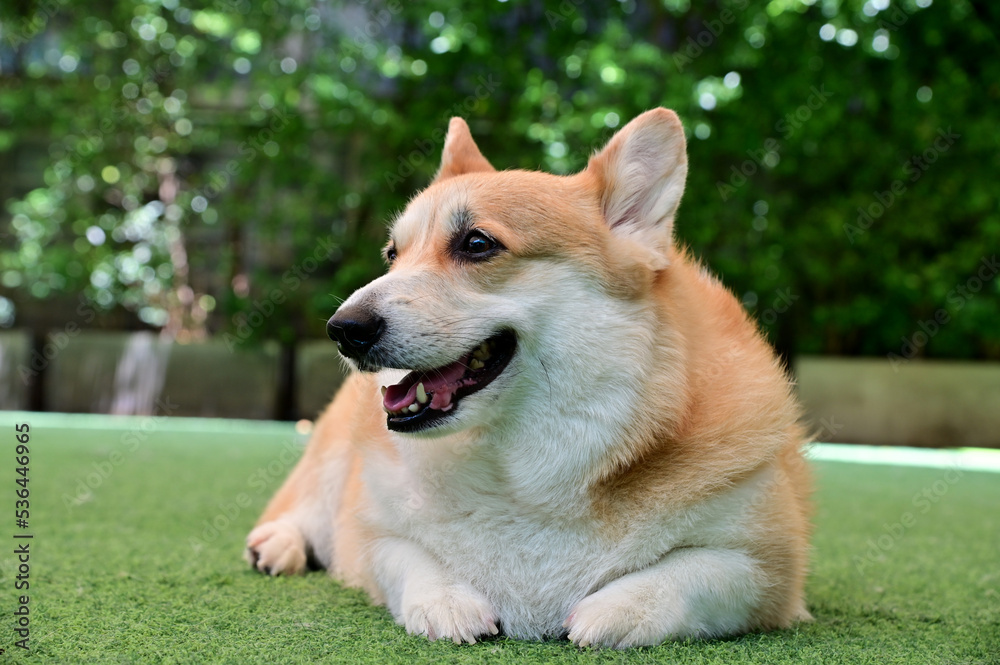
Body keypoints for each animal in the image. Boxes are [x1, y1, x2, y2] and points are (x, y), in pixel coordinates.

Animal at [244, 107, 812, 644]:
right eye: (392, 254)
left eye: (477, 244)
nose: (343, 329)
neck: (522, 471)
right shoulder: (371, 537)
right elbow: (406, 559)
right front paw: (445, 602)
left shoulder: (768, 570)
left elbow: (692, 574)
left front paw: (615, 611)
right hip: (330, 463)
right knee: (301, 505)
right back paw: (277, 545)